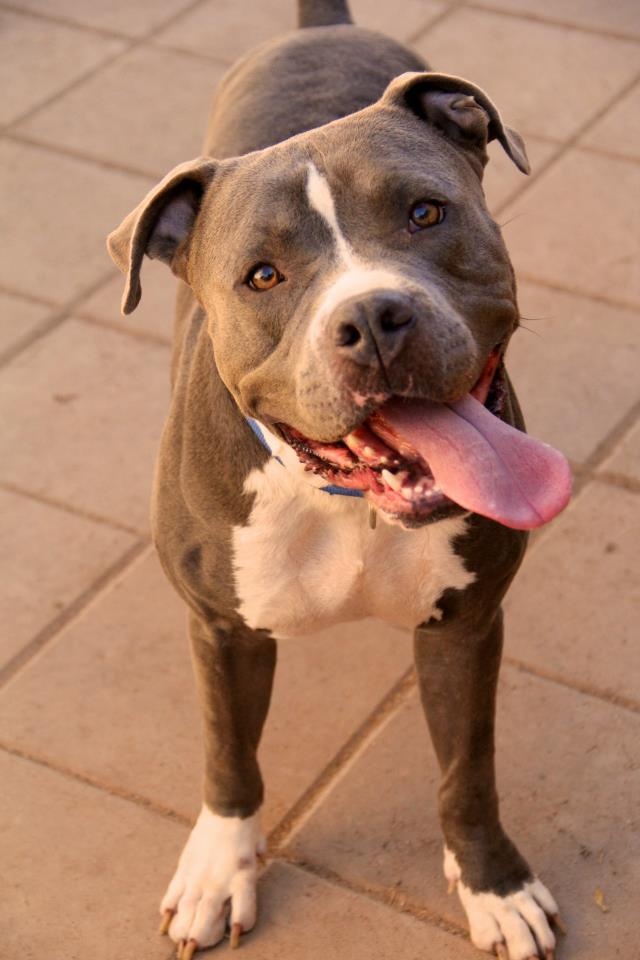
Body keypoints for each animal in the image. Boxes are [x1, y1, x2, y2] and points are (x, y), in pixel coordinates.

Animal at [107, 1, 572, 960]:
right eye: (262, 276)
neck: (350, 504)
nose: (372, 317)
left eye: (426, 212)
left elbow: (468, 769)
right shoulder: (222, 628)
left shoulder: (464, 625)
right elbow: (229, 754)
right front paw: (219, 870)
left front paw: (493, 884)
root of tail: (321, 24)